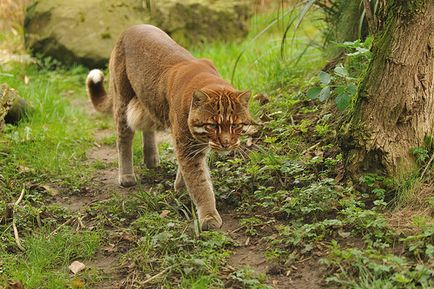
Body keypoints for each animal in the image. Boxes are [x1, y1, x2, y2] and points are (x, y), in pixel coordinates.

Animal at [85, 24, 254, 228]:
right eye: (213, 125)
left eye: (236, 125)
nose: (226, 143)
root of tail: (132, 27)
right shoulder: (187, 146)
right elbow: (199, 182)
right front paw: (208, 215)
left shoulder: (194, 145)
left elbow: (190, 173)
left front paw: (180, 187)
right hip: (123, 100)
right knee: (123, 138)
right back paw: (126, 176)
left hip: (148, 99)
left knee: (147, 124)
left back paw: (151, 159)